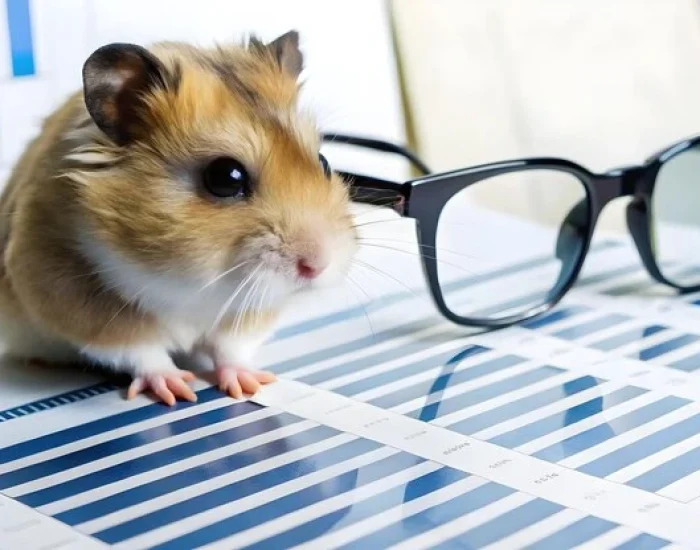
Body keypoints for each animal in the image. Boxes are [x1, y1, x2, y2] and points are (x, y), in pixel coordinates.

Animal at [0, 31, 357, 406]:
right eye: (225, 177)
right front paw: (179, 391)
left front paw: (250, 384)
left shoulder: (248, 309)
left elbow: (231, 348)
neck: (185, 283)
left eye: (323, 163)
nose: (318, 266)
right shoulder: (78, 299)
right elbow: (141, 351)